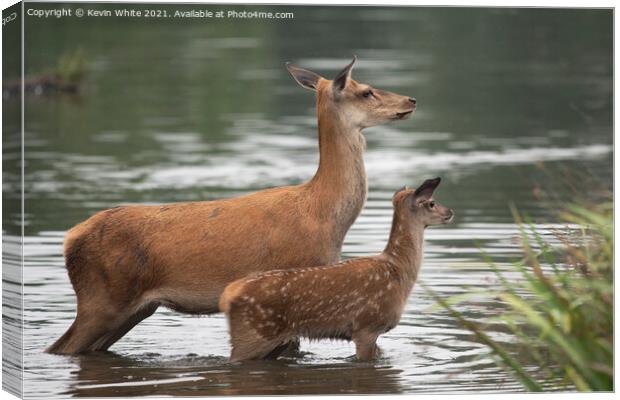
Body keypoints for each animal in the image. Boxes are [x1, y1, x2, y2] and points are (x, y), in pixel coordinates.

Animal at [47, 56, 416, 354]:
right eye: (366, 91)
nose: (410, 100)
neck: (324, 213)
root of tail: (69, 238)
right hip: (102, 299)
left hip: (132, 308)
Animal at [220, 178, 452, 362]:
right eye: (431, 203)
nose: (450, 212)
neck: (398, 269)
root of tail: (228, 294)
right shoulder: (367, 326)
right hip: (253, 334)